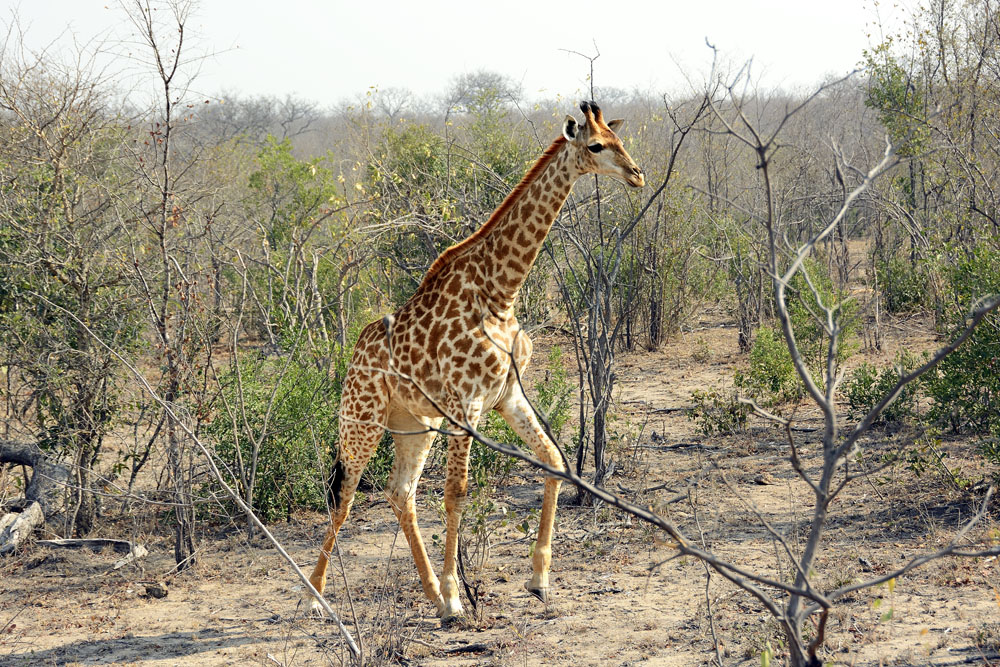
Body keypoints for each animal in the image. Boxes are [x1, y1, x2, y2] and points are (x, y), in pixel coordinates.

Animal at [304, 101, 644, 620]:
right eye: (595, 146)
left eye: (618, 140)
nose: (637, 174)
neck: (500, 292)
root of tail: (354, 357)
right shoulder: (465, 404)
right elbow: (456, 496)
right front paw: (455, 596)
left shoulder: (508, 394)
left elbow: (554, 461)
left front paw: (538, 580)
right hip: (361, 419)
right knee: (344, 495)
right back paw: (318, 595)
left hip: (414, 424)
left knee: (400, 493)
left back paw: (426, 593)